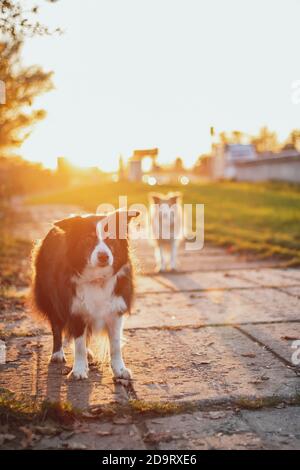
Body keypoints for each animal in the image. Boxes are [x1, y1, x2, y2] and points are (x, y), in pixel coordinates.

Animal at [32, 211, 140, 380]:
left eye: (111, 238)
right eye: (88, 239)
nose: (103, 256)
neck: (97, 278)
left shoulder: (116, 310)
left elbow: (115, 345)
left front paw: (120, 370)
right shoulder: (75, 309)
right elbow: (79, 344)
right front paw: (79, 370)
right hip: (51, 299)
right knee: (56, 326)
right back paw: (57, 353)